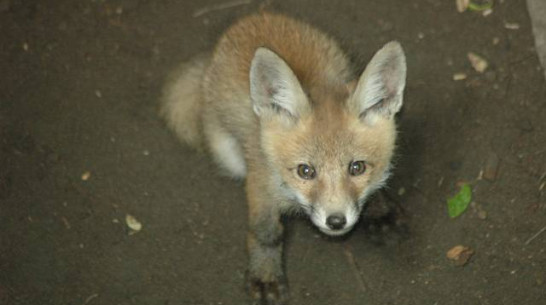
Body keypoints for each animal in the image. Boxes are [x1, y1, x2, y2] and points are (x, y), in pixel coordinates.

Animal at [158, 11, 404, 304]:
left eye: (357, 167)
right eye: (305, 171)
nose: (336, 221)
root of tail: (252, 17)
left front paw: (380, 209)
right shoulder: (260, 182)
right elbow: (266, 233)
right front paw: (265, 275)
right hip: (228, 155)